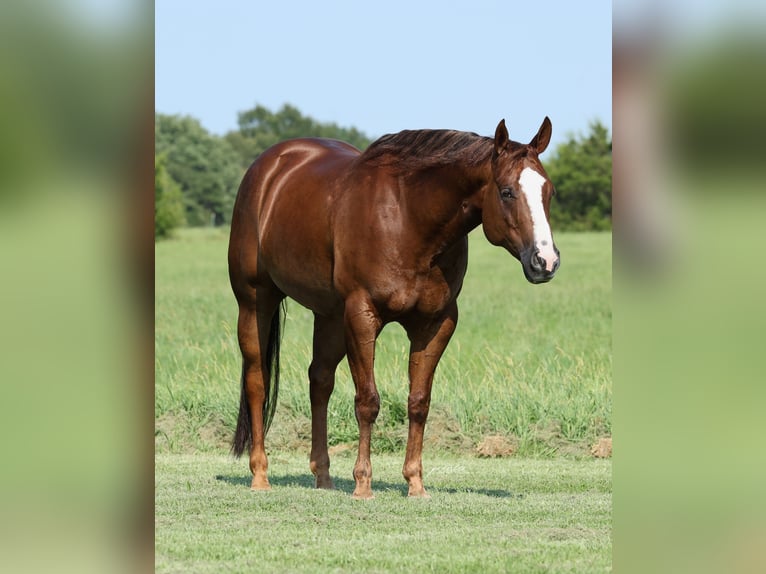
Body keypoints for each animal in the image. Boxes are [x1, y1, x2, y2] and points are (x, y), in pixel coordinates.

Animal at [228, 117, 560, 499]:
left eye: (549, 192)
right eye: (507, 191)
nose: (545, 261)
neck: (408, 219)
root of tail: (269, 167)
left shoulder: (436, 323)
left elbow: (419, 401)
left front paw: (415, 482)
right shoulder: (362, 315)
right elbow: (368, 401)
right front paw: (363, 483)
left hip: (329, 316)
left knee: (320, 381)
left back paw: (323, 477)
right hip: (255, 301)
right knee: (257, 381)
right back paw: (260, 474)